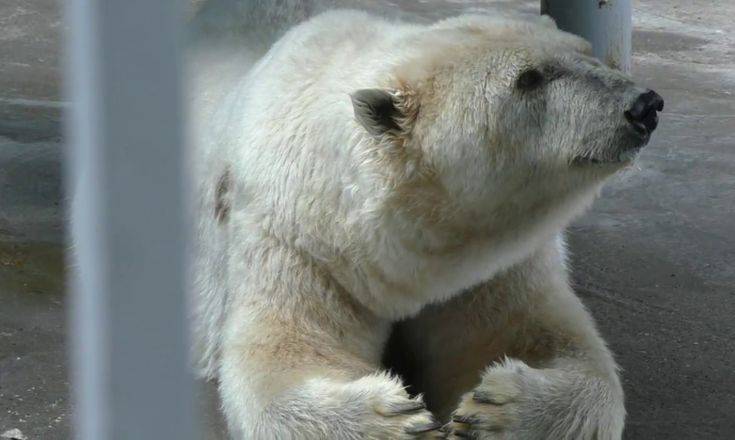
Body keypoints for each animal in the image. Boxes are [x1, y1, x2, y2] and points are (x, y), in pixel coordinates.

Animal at [187, 1, 664, 438]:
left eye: (586, 52)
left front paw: (493, 412)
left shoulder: (494, 258)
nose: (645, 106)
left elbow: (540, 337)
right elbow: (287, 349)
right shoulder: (295, 238)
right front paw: (397, 420)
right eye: (529, 78)